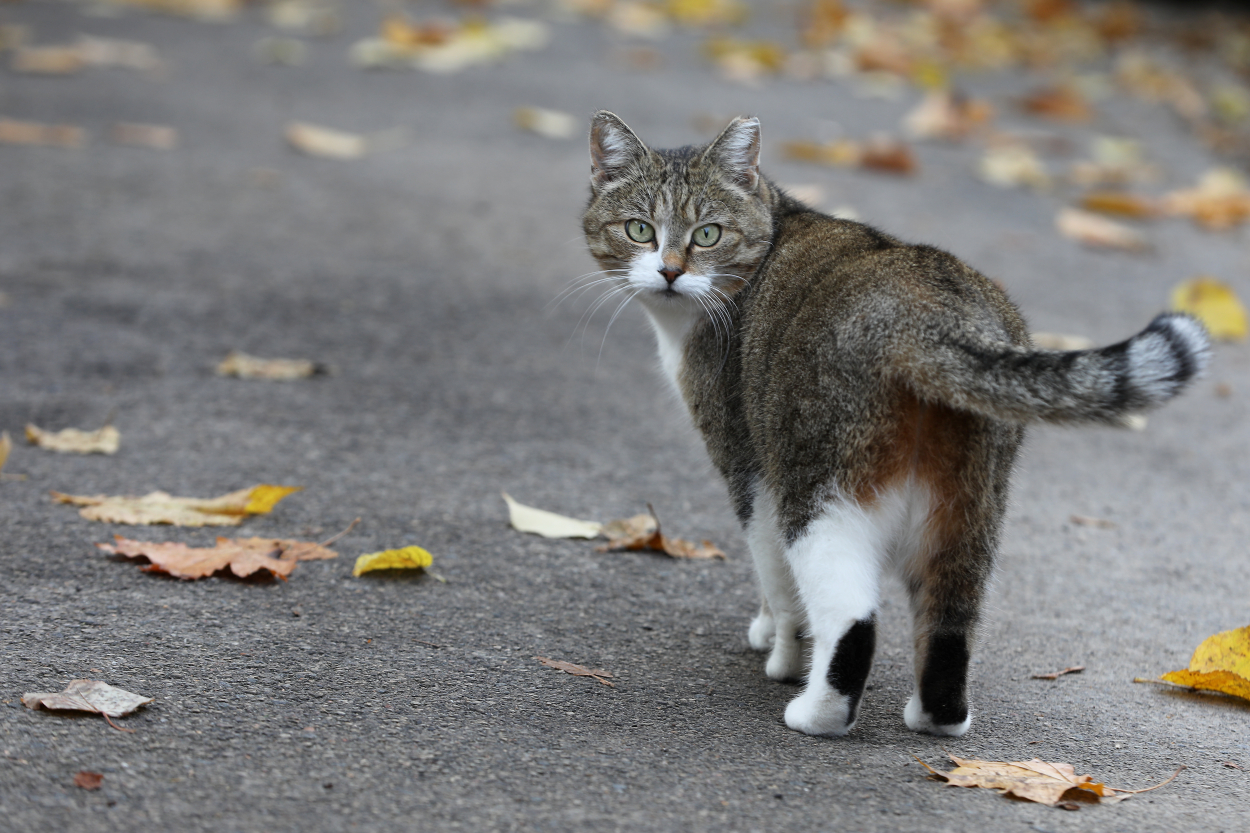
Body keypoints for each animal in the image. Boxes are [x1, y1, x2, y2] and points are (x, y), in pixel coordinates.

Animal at [582, 108, 1210, 735]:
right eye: (639, 230)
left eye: (707, 234)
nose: (669, 272)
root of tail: (929, 314)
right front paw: (766, 632)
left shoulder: (749, 466)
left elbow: (778, 583)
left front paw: (783, 653)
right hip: (970, 504)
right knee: (950, 621)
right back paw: (936, 717)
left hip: (818, 485)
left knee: (852, 618)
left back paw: (818, 711)